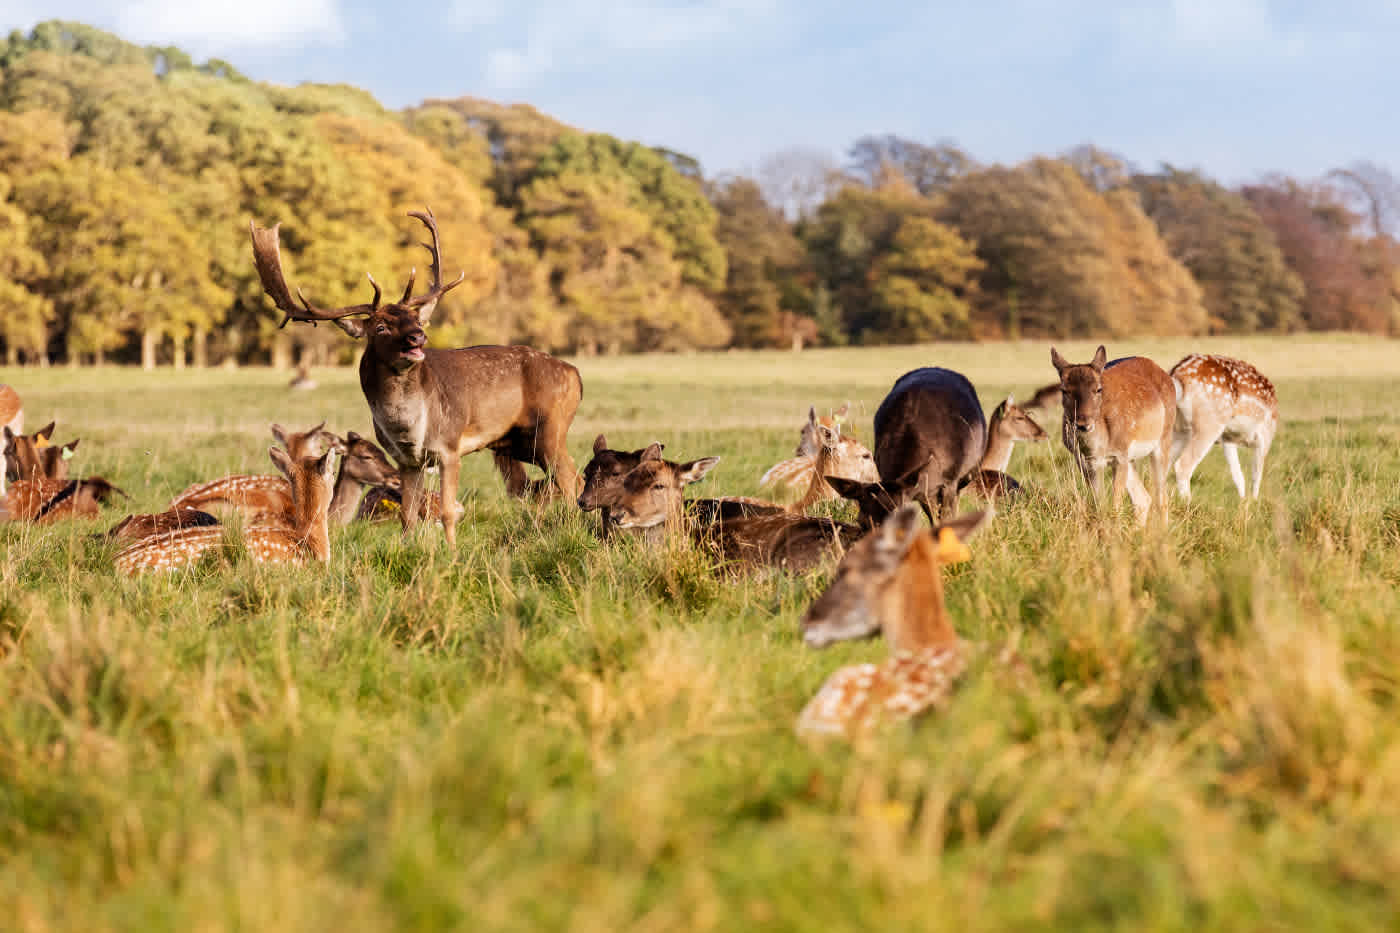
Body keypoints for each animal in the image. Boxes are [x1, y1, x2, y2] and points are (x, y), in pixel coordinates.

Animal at [249, 208, 582, 546]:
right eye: (380, 326)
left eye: (414, 318)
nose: (418, 336)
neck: (407, 428)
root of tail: (575, 374)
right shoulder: (407, 462)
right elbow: (407, 517)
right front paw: (412, 548)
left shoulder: (450, 446)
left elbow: (446, 512)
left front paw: (452, 552)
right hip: (517, 442)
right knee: (567, 479)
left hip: (550, 428)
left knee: (568, 477)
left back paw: (571, 529)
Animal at [1052, 344, 1176, 526]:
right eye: (1064, 390)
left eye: (1098, 389)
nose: (1083, 424)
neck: (1096, 448)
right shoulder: (1084, 462)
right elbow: (1099, 505)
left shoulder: (1120, 455)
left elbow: (1115, 506)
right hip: (1131, 458)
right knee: (1143, 498)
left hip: (1163, 438)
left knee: (1162, 498)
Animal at [1164, 353, 1276, 498]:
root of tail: (1177, 374)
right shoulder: (1265, 435)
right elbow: (1256, 476)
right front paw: (1253, 501)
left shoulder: (1227, 438)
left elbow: (1238, 476)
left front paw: (1243, 501)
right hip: (1210, 423)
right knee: (1183, 464)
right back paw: (1187, 501)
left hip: (1180, 428)